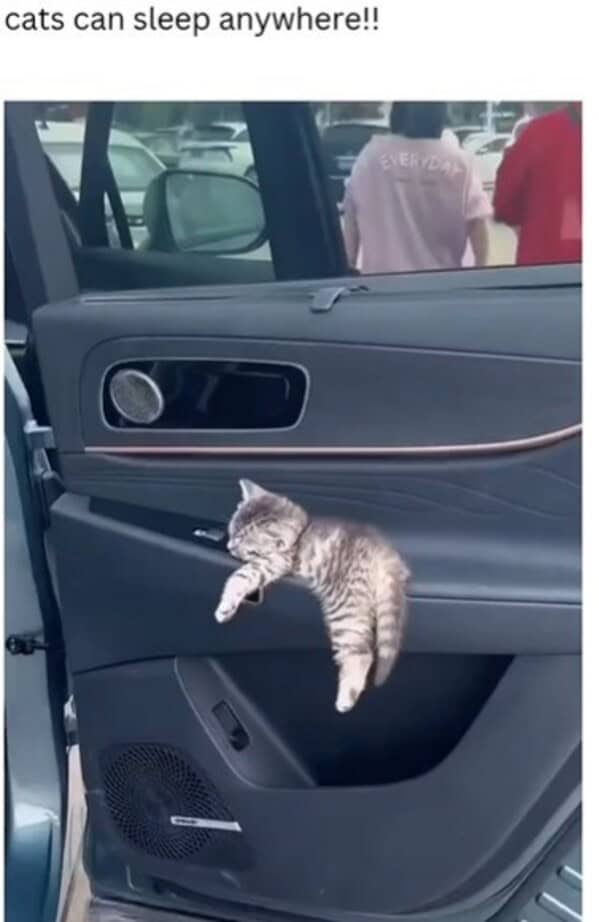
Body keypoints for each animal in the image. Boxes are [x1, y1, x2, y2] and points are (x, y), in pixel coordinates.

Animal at [214, 479, 410, 712]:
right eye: (232, 531)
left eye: (244, 544)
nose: (229, 547)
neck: (300, 530)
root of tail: (383, 552)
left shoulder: (275, 562)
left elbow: (240, 577)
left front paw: (225, 606)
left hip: (345, 606)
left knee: (360, 652)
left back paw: (347, 695)